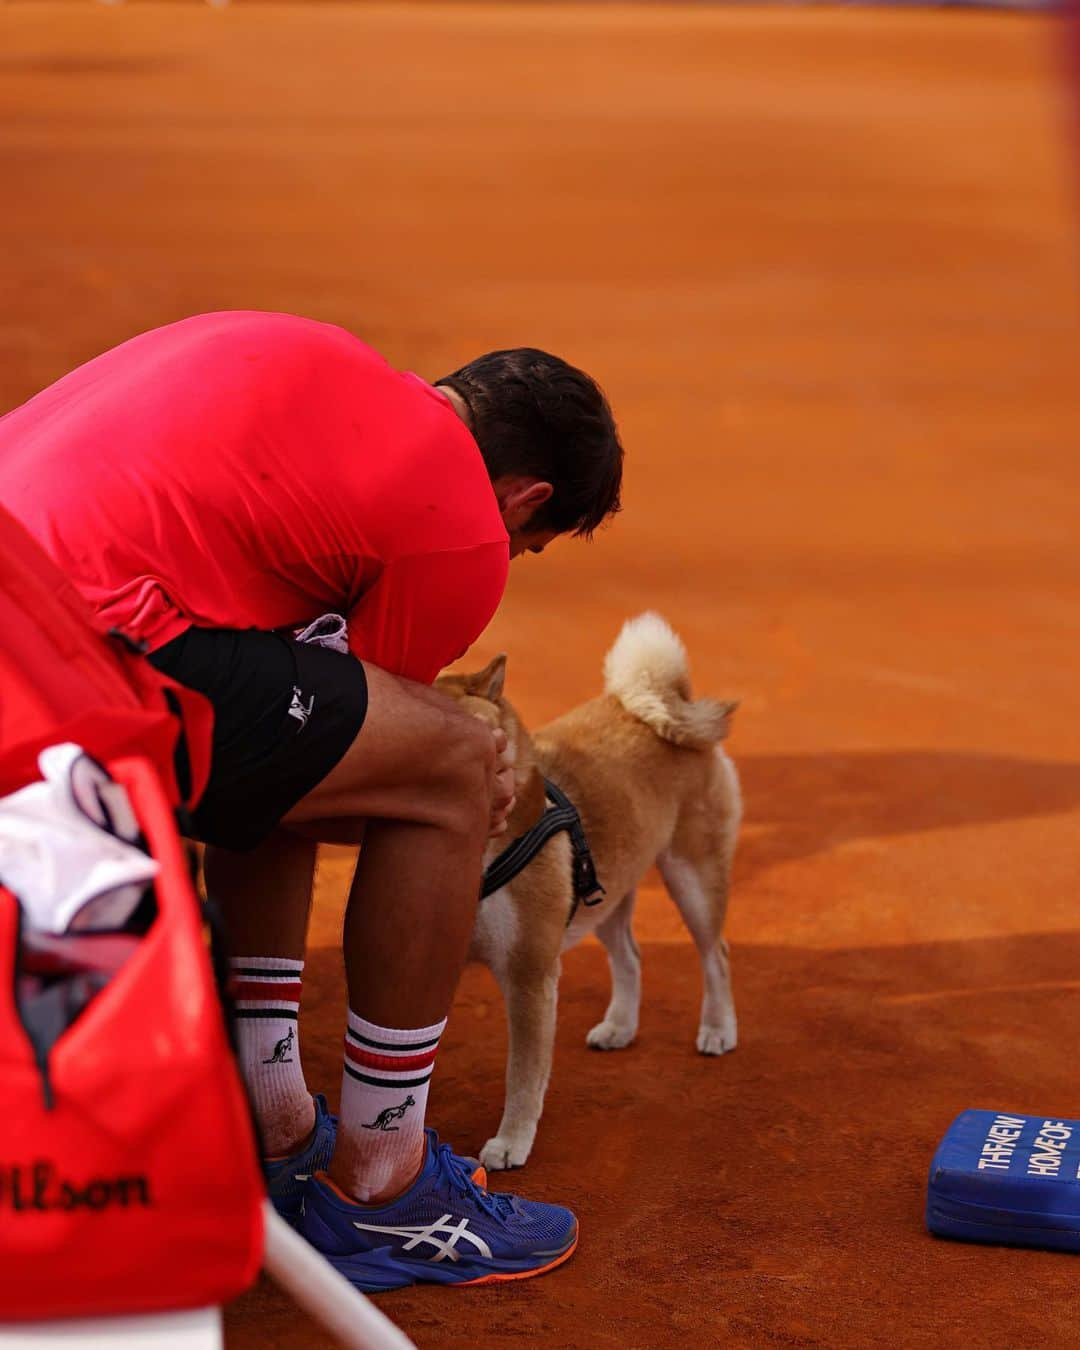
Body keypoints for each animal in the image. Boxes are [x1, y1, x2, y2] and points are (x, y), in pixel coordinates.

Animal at [434, 612, 739, 1171]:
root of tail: (655, 707)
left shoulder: (530, 974)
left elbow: (522, 1076)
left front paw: (511, 1141)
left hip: (693, 880)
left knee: (717, 955)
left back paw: (718, 1028)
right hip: (607, 894)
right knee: (631, 958)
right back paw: (620, 1026)